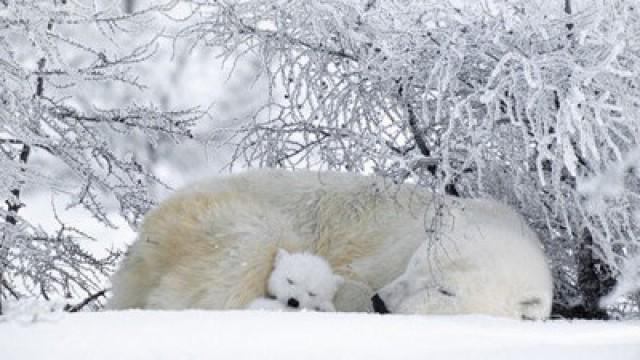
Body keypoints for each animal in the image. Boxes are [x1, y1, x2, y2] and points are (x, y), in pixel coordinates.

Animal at [107, 169, 552, 318]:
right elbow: (347, 278)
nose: (382, 303)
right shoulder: (386, 252)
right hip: (216, 216)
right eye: (415, 264)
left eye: (445, 290)